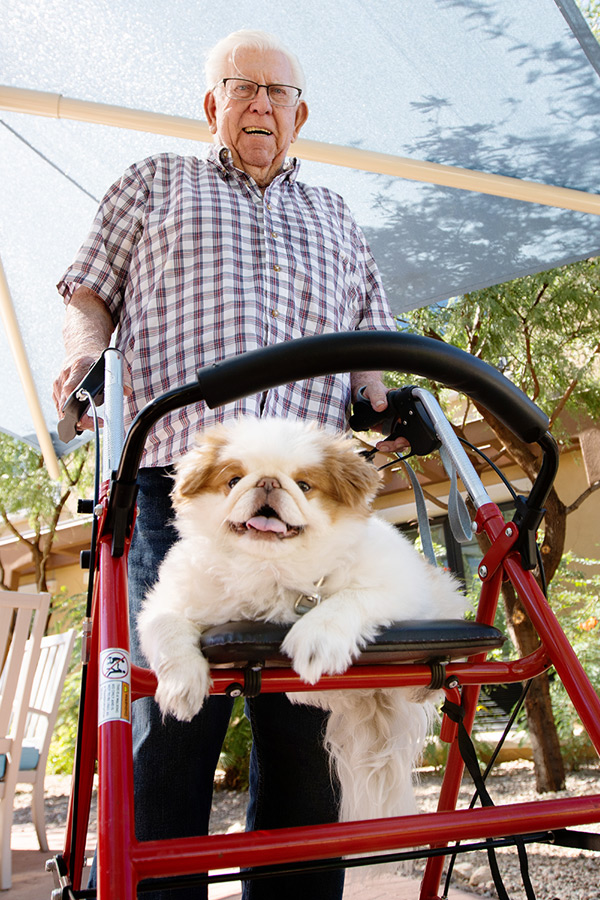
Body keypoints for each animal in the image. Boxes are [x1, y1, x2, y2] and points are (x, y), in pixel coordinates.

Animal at [138, 416, 466, 824]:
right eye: (234, 480)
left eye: (305, 486)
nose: (267, 482)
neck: (271, 569)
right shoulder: (166, 603)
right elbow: (169, 631)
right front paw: (181, 685)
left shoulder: (399, 586)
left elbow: (346, 600)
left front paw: (315, 639)